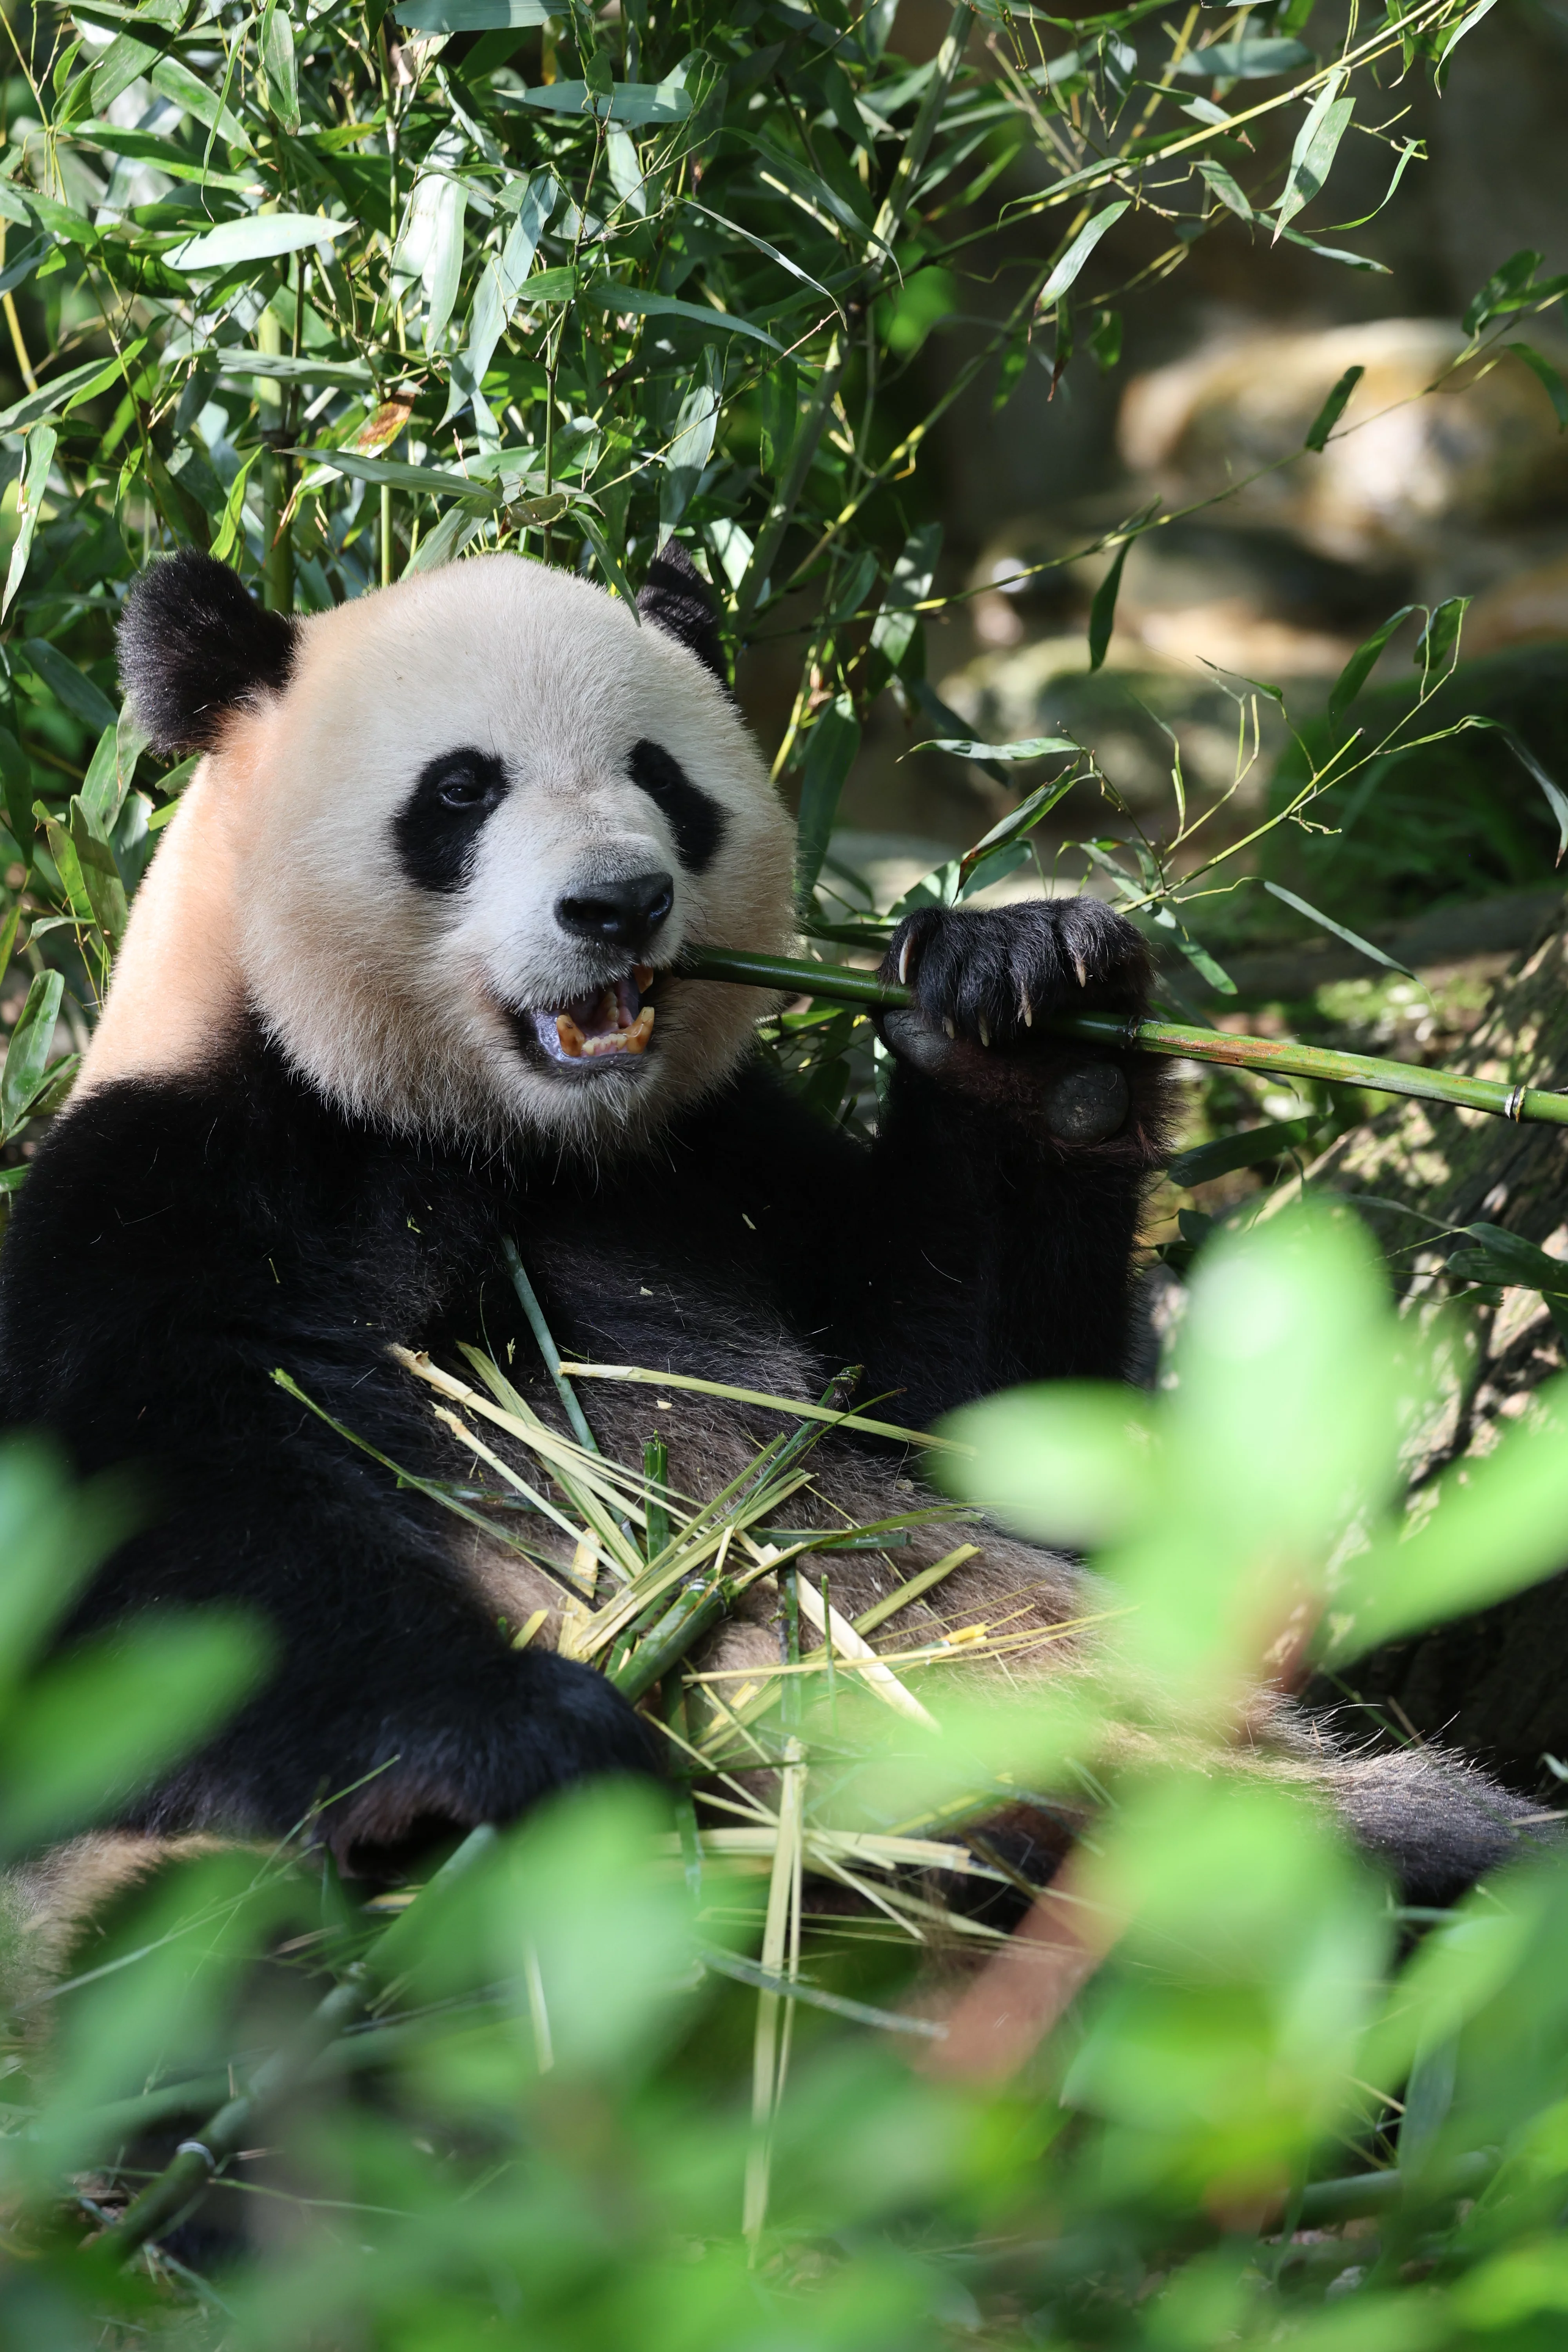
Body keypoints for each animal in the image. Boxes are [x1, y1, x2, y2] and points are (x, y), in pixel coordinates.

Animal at [0, 545, 1523, 1904]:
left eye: (660, 779)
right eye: (461, 788)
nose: (616, 905)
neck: (505, 1135)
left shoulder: (722, 1167)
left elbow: (978, 1431)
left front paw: (1027, 1006)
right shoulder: (171, 1191)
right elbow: (150, 1562)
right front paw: (513, 1743)